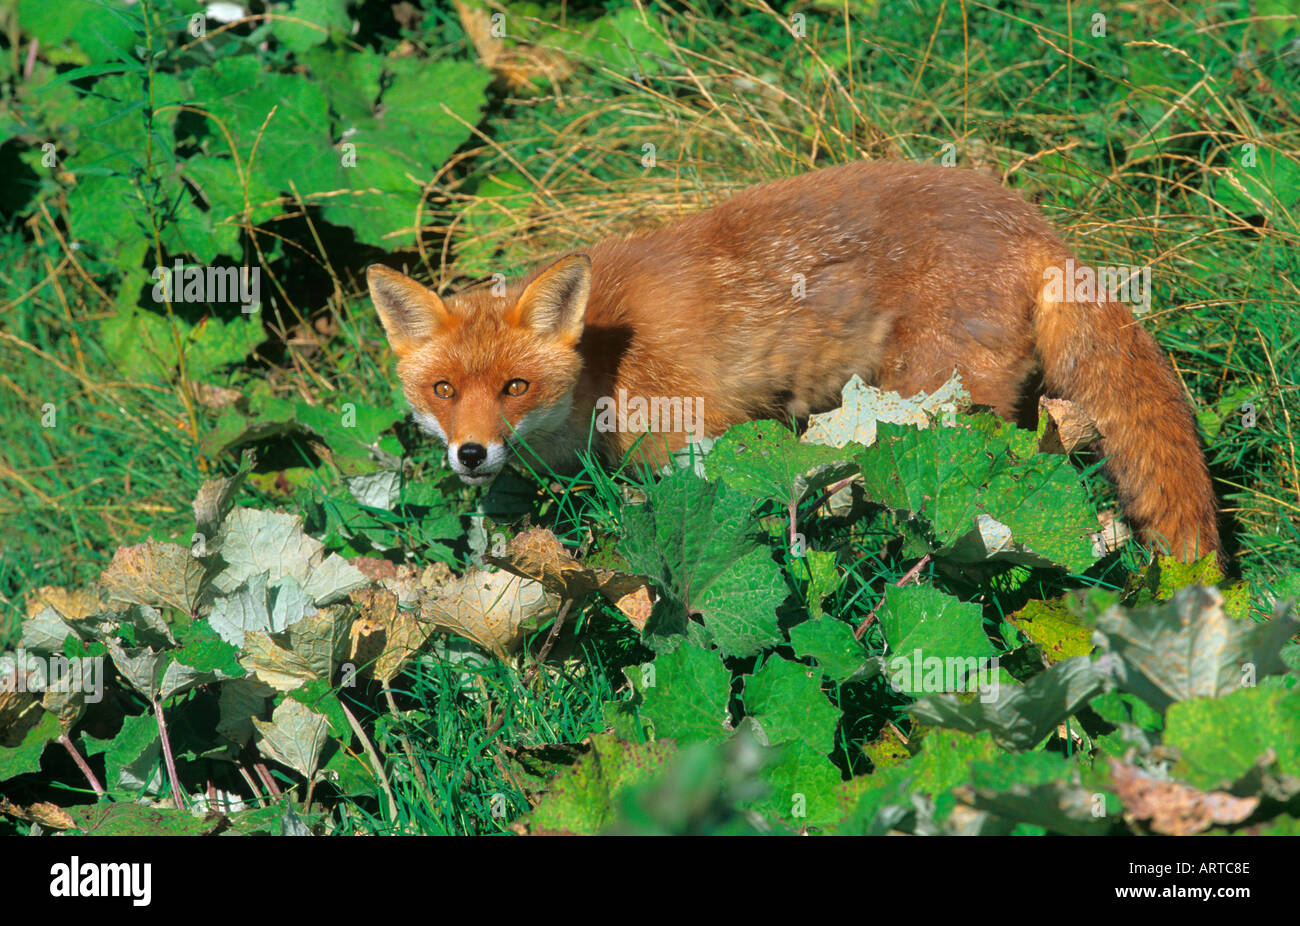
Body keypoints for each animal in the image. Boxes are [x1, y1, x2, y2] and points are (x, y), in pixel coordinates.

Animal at [366, 159, 1216, 561]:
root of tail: (1034, 224)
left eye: (515, 386)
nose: (471, 455)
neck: (605, 364)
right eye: (442, 390)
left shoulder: (696, 430)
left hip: (934, 404)